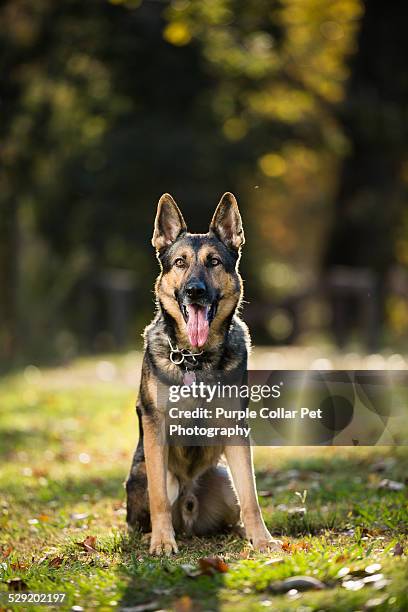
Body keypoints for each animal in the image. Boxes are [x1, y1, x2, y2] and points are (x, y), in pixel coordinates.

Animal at [126, 192, 280, 556]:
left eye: (213, 262)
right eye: (180, 262)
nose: (194, 291)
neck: (195, 359)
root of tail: (189, 510)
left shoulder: (236, 427)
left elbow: (251, 495)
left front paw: (262, 539)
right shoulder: (155, 426)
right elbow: (158, 498)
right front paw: (162, 542)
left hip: (222, 477)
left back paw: (240, 531)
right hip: (150, 474)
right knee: (151, 510)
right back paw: (155, 535)